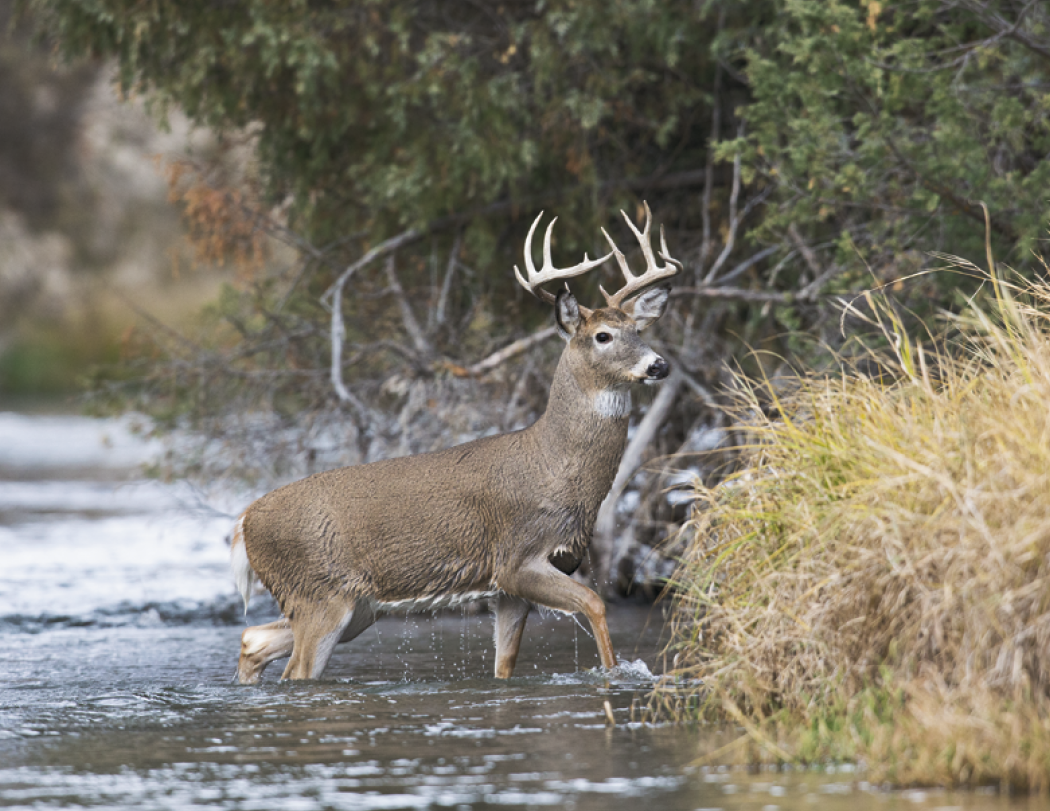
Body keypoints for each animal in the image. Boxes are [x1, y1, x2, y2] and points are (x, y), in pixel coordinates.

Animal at [230, 202, 680, 683]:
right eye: (603, 336)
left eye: (638, 329)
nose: (659, 365)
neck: (553, 462)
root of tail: (244, 522)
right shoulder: (516, 558)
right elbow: (596, 603)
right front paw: (615, 677)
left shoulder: (511, 589)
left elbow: (505, 664)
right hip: (318, 594)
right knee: (295, 670)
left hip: (355, 608)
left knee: (253, 638)